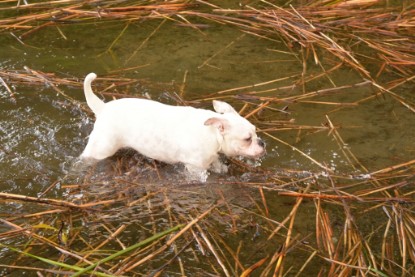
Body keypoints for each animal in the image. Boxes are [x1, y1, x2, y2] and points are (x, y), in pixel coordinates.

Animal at [80, 73, 266, 180]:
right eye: (247, 139)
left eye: (256, 132)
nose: (262, 143)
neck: (212, 134)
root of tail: (102, 108)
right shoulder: (195, 168)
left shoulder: (211, 158)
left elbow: (218, 165)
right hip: (101, 147)